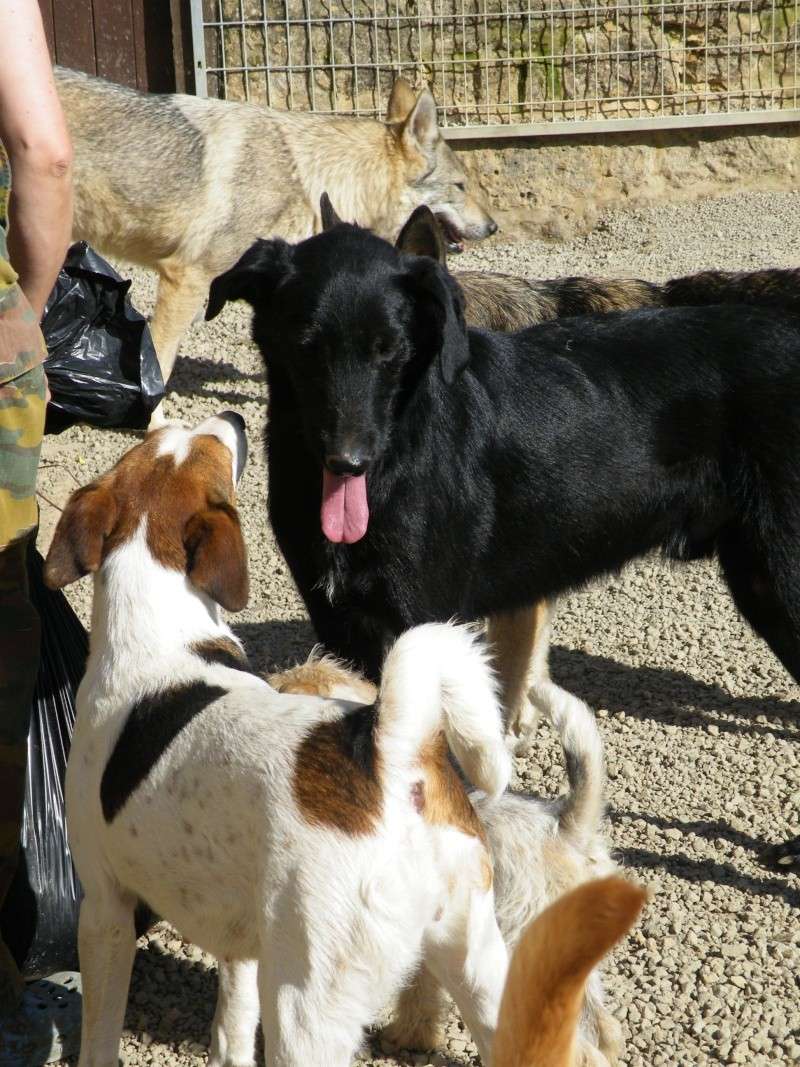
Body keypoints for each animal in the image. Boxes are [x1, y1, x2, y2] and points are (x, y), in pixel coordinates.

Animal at [45, 411, 514, 1067]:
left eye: (211, 444)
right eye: (174, 435)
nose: (236, 417)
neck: (161, 639)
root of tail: (388, 752)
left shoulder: (105, 910)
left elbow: (100, 1037)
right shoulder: (241, 941)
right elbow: (231, 1033)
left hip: (304, 1006)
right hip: (477, 965)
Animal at [208, 205, 800, 866]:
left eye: (390, 351)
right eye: (307, 346)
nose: (348, 462)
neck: (403, 448)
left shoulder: (425, 622)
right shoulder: (339, 625)